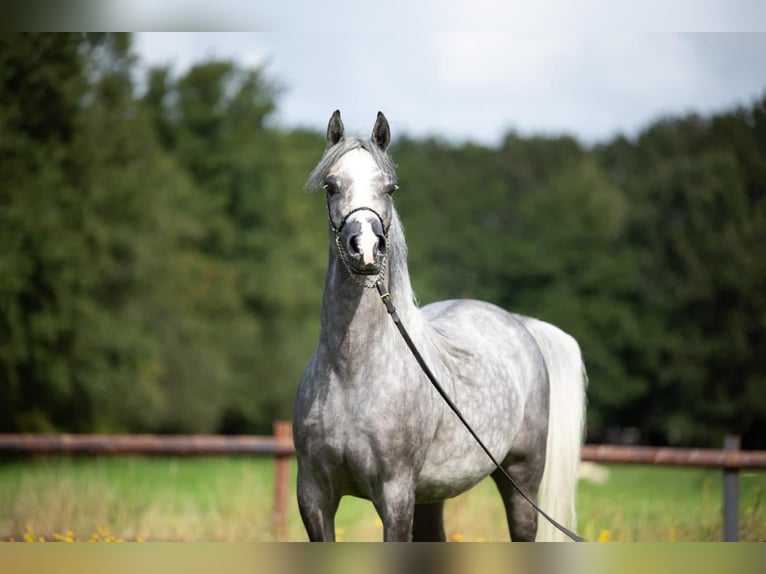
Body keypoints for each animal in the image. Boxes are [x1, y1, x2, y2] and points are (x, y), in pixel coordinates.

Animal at [293, 110, 587, 542]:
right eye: (331, 186)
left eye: (390, 188)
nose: (366, 249)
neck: (352, 376)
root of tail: (520, 324)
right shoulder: (314, 497)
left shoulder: (396, 496)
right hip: (433, 493)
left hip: (521, 477)